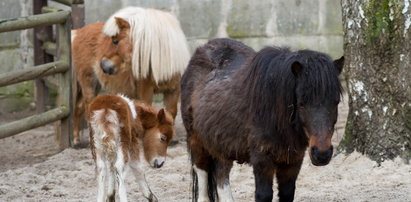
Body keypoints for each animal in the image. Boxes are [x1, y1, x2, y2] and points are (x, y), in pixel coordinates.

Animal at [71, 6, 191, 145]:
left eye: (115, 41)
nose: (104, 65)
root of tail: (78, 33)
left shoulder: (173, 90)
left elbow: (171, 112)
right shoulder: (145, 91)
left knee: (79, 108)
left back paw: (77, 140)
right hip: (88, 83)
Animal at [182, 38, 346, 202]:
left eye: (336, 102)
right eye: (301, 103)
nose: (322, 154)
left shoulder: (293, 159)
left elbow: (287, 193)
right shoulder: (262, 159)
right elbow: (264, 195)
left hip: (221, 145)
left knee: (222, 177)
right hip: (196, 140)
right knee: (202, 175)